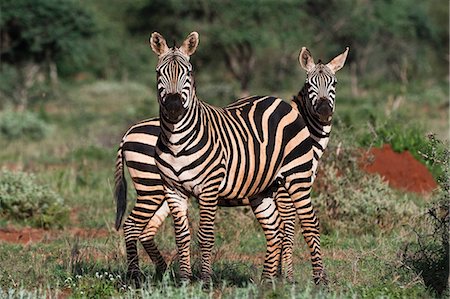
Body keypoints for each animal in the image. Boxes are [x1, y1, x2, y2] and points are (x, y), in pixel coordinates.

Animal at [115, 37, 348, 284]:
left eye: (334, 84)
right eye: (310, 84)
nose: (324, 110)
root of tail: (128, 132)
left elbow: (280, 231)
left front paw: (277, 275)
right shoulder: (285, 191)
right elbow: (287, 231)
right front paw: (287, 276)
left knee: (146, 230)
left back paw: (162, 271)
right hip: (151, 188)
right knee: (133, 226)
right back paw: (137, 276)